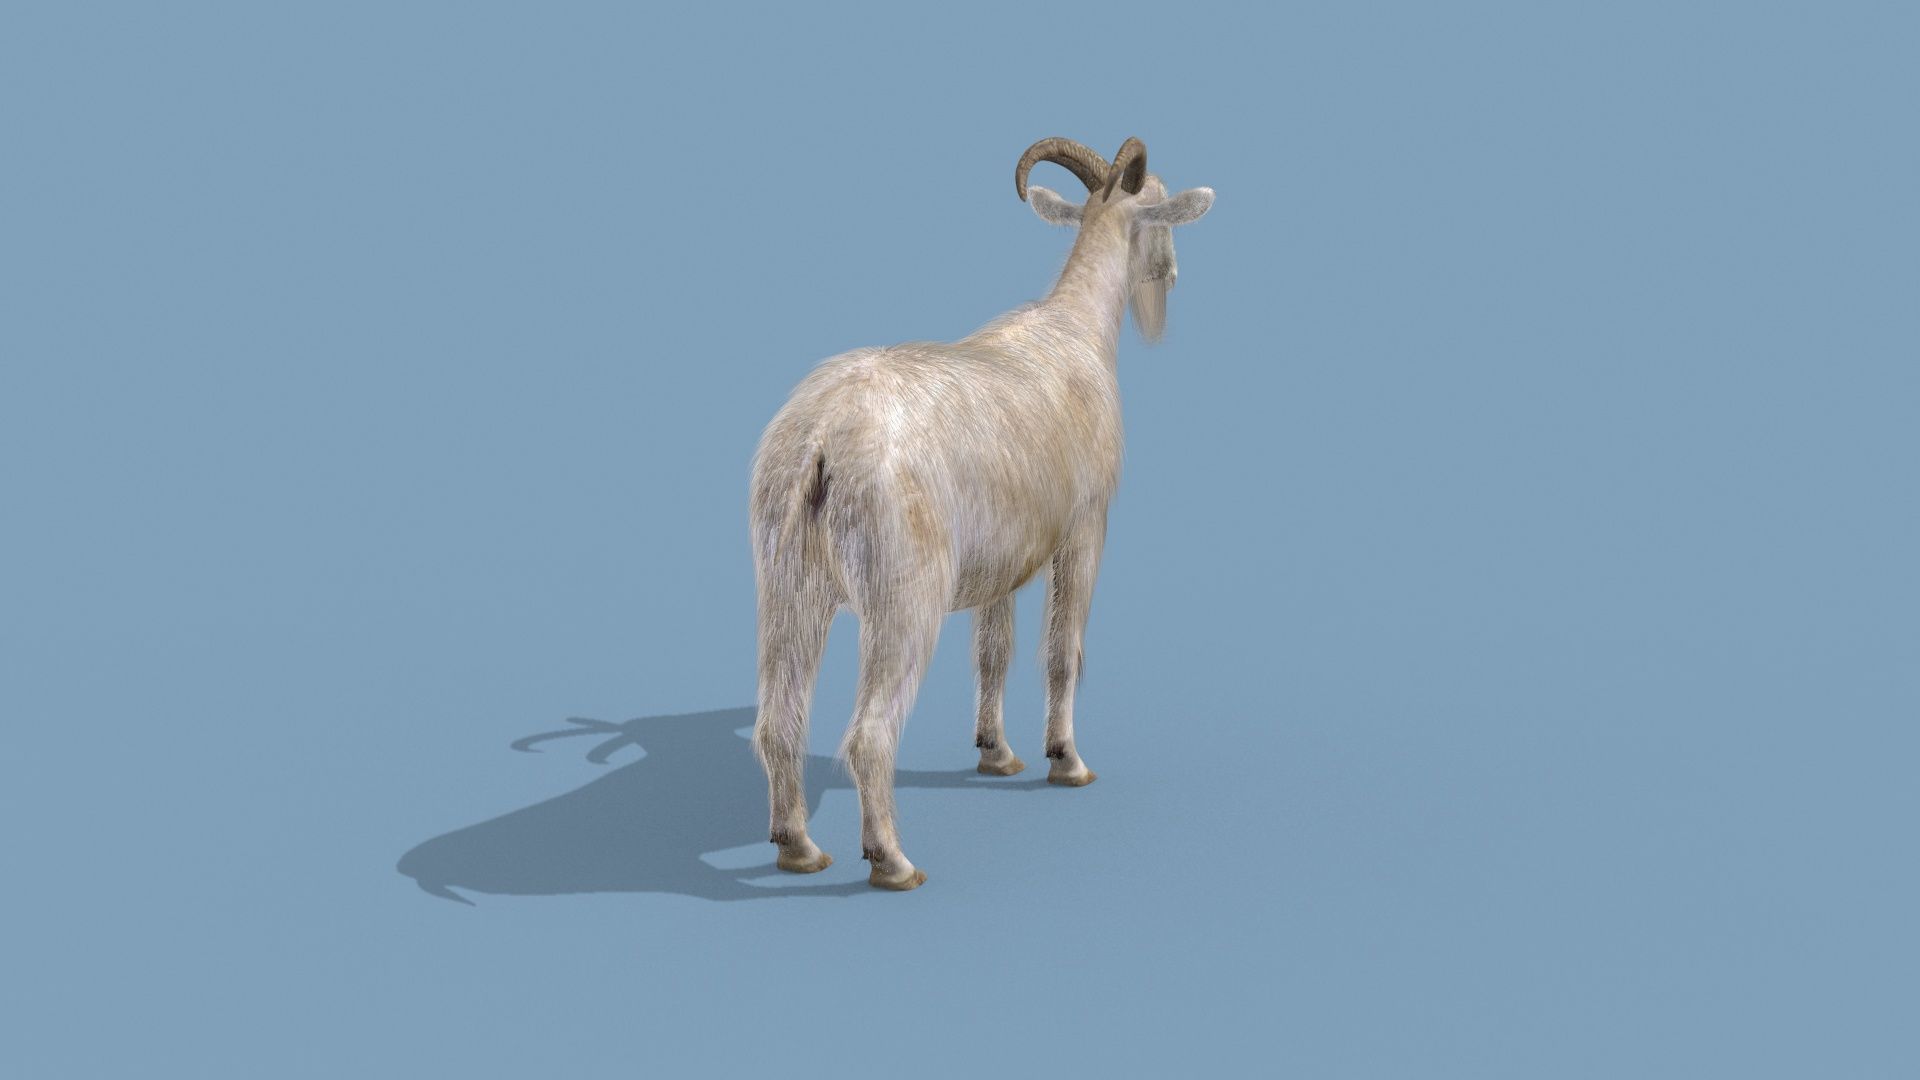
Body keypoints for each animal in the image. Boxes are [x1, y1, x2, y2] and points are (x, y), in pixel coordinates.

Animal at [749, 136, 1214, 890]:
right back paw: (892, 861)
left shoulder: (1004, 558)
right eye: (1163, 211)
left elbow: (994, 651)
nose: (1170, 277)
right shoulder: (1085, 529)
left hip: (788, 585)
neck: (1072, 330)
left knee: (778, 720)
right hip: (903, 596)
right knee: (869, 734)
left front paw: (996, 753)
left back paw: (798, 848)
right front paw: (1067, 762)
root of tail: (821, 442)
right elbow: (1062, 651)